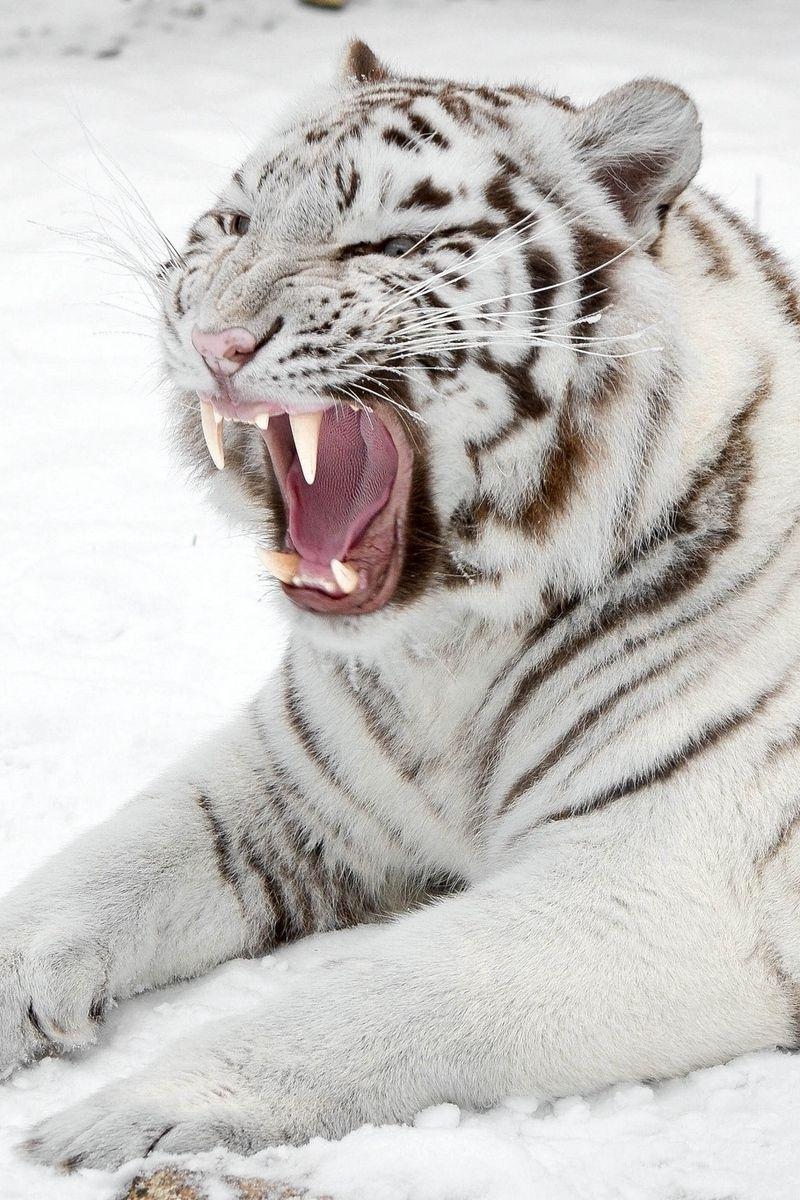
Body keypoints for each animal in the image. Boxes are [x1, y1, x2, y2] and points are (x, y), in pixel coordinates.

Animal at [7, 39, 800, 1172]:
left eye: (385, 244)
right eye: (233, 224)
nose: (214, 342)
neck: (450, 655)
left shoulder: (656, 878)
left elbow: (370, 1001)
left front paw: (123, 1115)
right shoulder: (284, 786)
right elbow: (93, 871)